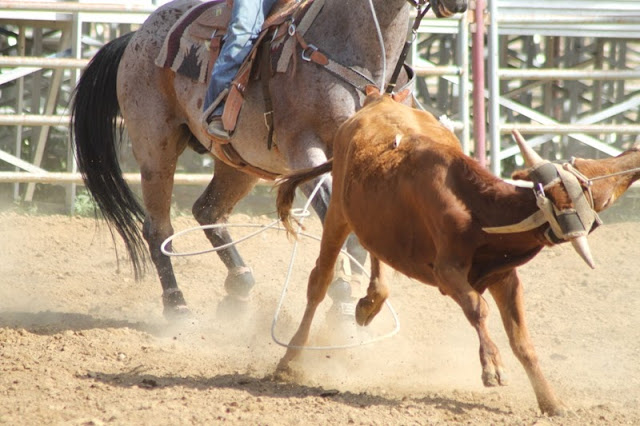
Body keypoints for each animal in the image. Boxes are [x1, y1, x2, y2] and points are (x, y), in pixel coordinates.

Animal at [72, 0, 468, 320]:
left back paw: (239, 288)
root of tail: (135, 36)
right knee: (158, 229)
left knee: (208, 210)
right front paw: (342, 302)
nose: (458, 4)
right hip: (156, 147)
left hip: (240, 163)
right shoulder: (304, 151)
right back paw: (177, 307)